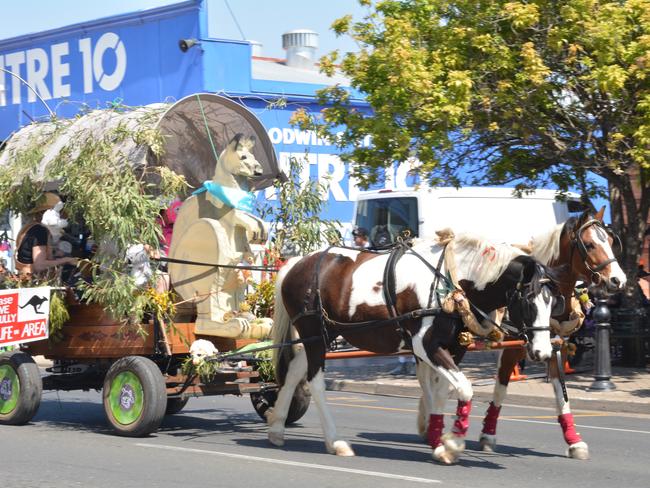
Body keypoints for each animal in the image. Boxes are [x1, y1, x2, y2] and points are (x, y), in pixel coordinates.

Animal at [266, 231, 560, 464]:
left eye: (552, 302)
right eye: (528, 301)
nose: (543, 352)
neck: (452, 281)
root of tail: (295, 263)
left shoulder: (454, 348)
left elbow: (442, 391)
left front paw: (439, 439)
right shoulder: (424, 345)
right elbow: (464, 388)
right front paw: (453, 444)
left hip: (322, 336)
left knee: (294, 371)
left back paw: (277, 428)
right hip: (314, 333)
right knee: (315, 381)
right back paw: (335, 441)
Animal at [476, 206, 624, 458]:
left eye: (611, 241)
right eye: (590, 245)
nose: (618, 280)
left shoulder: (555, 347)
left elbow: (560, 393)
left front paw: (574, 440)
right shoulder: (512, 348)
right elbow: (500, 387)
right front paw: (487, 434)